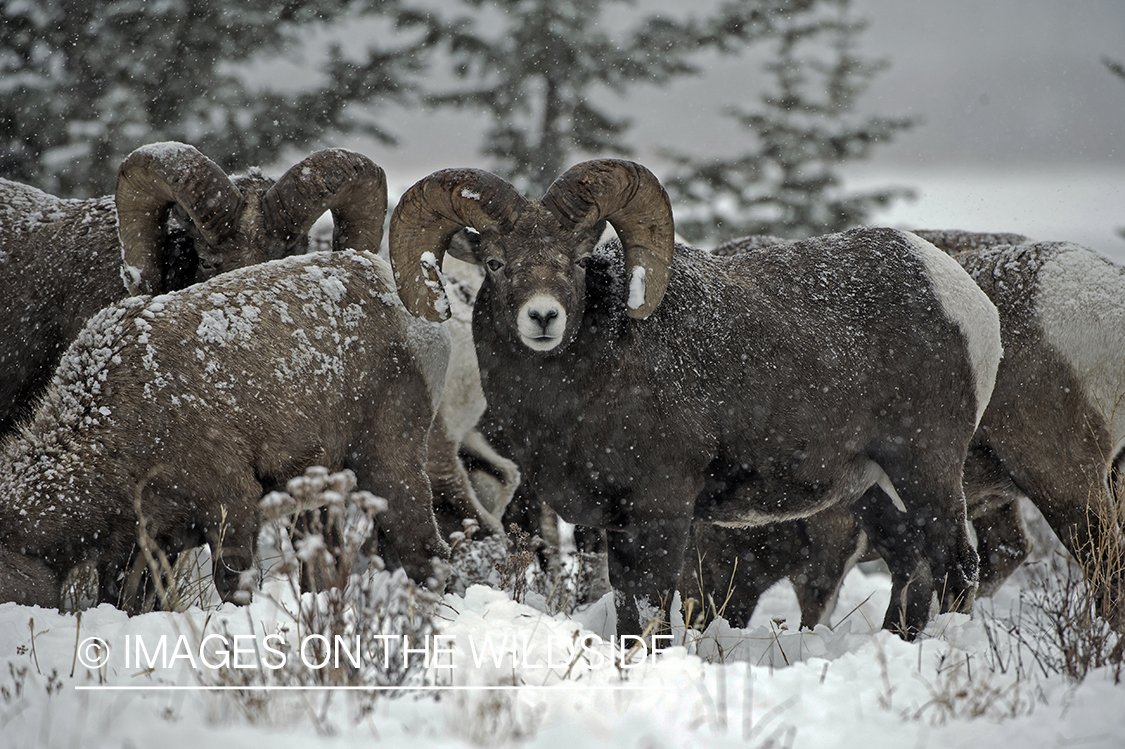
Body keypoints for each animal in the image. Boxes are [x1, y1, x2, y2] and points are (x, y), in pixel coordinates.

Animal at [384, 159, 1002, 638]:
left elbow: (655, 605)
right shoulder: (615, 524)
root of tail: (966, 300)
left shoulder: (662, 507)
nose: (543, 317)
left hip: (925, 468)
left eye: (578, 261)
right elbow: (629, 610)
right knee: (914, 565)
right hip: (881, 489)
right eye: (495, 262)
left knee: (956, 564)